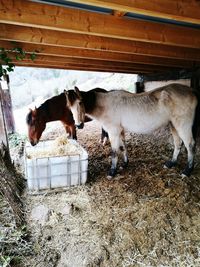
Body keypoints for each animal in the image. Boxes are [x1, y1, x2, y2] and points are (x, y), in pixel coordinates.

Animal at [65, 85, 198, 179]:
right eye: (69, 107)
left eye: (80, 102)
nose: (79, 125)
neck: (104, 105)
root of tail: (191, 91)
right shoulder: (120, 131)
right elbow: (123, 147)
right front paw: (124, 164)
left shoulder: (113, 132)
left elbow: (114, 152)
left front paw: (112, 172)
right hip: (173, 124)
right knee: (178, 143)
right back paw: (171, 163)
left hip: (182, 125)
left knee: (190, 145)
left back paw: (187, 171)